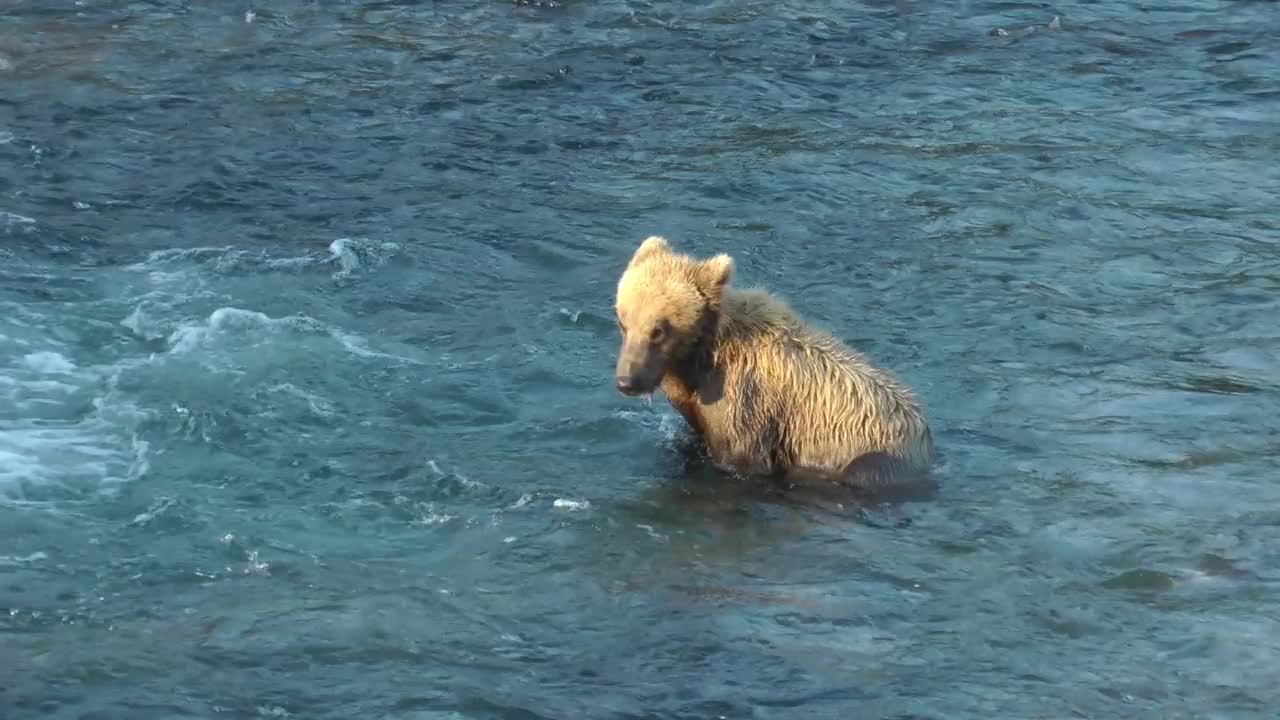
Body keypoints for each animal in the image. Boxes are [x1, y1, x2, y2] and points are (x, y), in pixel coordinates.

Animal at [614, 235, 936, 491]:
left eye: (658, 330)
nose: (627, 381)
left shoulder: (747, 401)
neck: (700, 359)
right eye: (623, 322)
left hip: (875, 455)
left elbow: (743, 458)